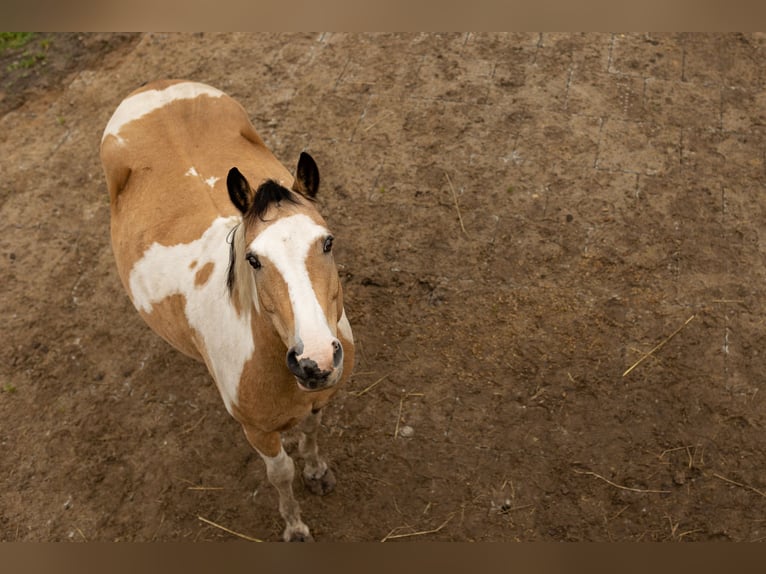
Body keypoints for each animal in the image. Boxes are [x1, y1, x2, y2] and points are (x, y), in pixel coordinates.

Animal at [99, 79, 356, 544]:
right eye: (253, 259)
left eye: (327, 241)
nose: (315, 361)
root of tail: (155, 86)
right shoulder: (258, 432)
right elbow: (280, 474)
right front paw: (295, 528)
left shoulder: (320, 398)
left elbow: (311, 434)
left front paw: (317, 472)